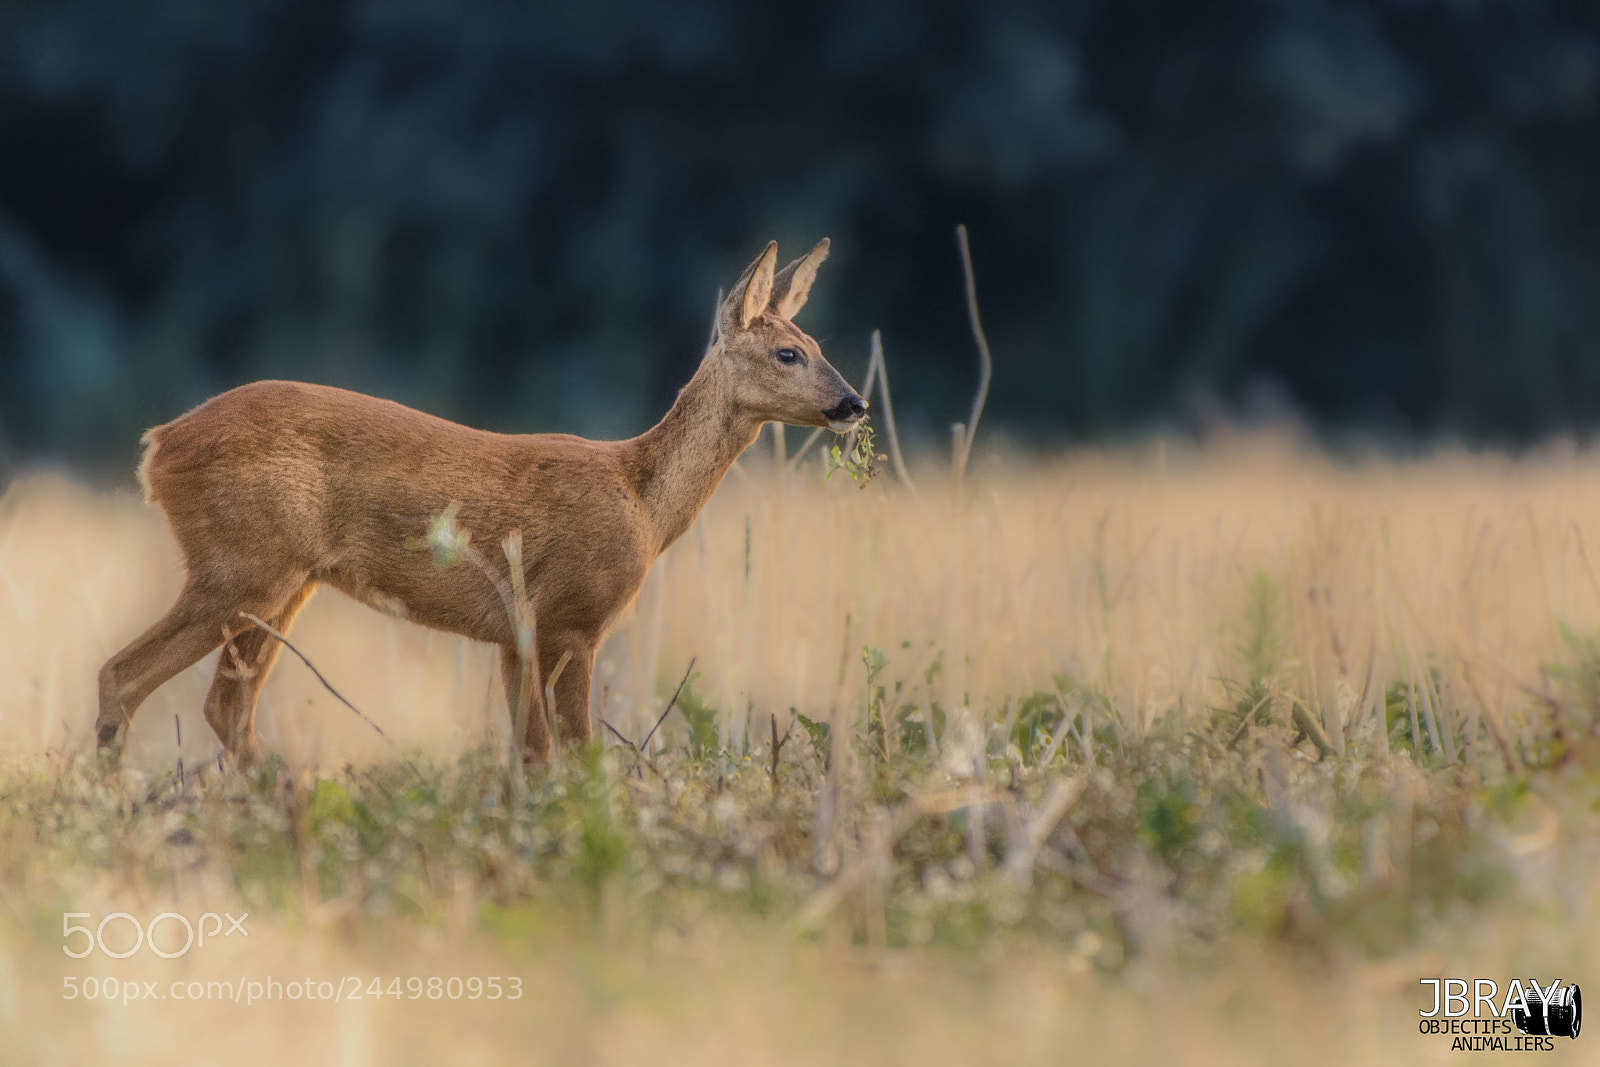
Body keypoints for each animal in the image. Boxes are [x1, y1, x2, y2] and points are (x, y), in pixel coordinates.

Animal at [95, 239, 865, 769]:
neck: (643, 502)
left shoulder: (513, 635)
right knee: (125, 675)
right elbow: (572, 753)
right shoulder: (567, 620)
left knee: (222, 704)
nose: (852, 404)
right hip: (243, 566)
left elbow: (528, 754)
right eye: (790, 354)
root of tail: (158, 445)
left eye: (817, 343)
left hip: (284, 583)